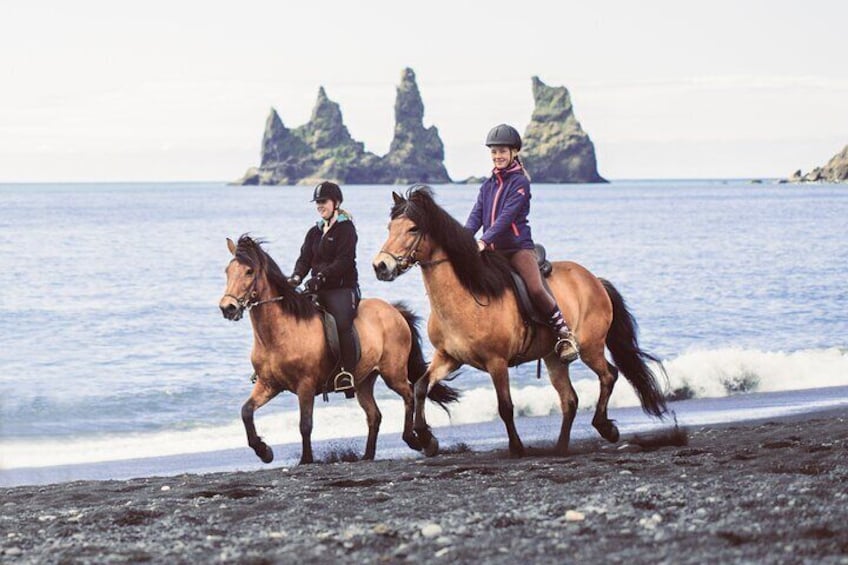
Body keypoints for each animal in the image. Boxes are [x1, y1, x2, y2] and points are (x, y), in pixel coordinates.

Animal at [219, 234, 458, 462]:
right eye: (227, 271)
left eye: (249, 271)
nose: (227, 308)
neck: (280, 333)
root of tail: (394, 310)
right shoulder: (269, 384)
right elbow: (246, 411)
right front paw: (264, 451)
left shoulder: (305, 385)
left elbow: (305, 424)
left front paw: (306, 460)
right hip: (363, 380)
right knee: (374, 415)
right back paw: (368, 455)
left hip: (393, 372)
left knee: (409, 395)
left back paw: (421, 441)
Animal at [374, 187, 664, 456]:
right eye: (390, 227)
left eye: (413, 228)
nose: (380, 266)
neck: (466, 296)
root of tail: (594, 280)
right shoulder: (448, 357)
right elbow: (421, 387)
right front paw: (426, 439)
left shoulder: (497, 361)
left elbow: (505, 406)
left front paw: (516, 448)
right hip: (553, 357)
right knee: (569, 399)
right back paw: (561, 448)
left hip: (591, 347)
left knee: (609, 375)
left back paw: (606, 428)